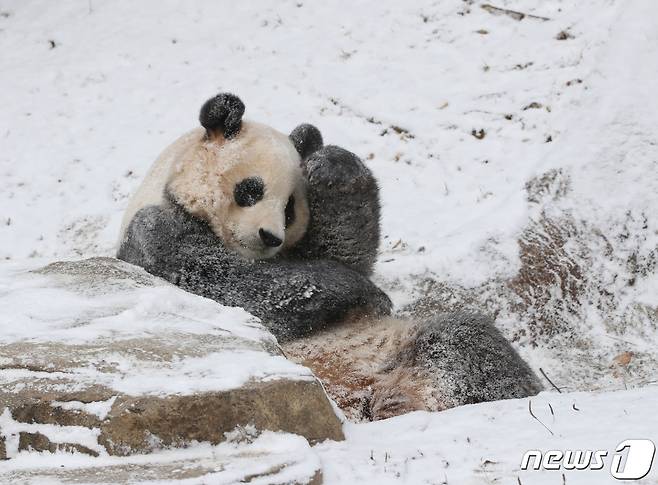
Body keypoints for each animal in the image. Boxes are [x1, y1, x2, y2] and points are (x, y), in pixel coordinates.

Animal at [116, 93, 540, 420]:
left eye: (290, 208)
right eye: (251, 189)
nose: (270, 236)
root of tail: (360, 399)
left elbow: (343, 248)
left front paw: (332, 165)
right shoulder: (155, 234)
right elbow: (230, 284)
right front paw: (363, 290)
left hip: (391, 345)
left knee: (465, 343)